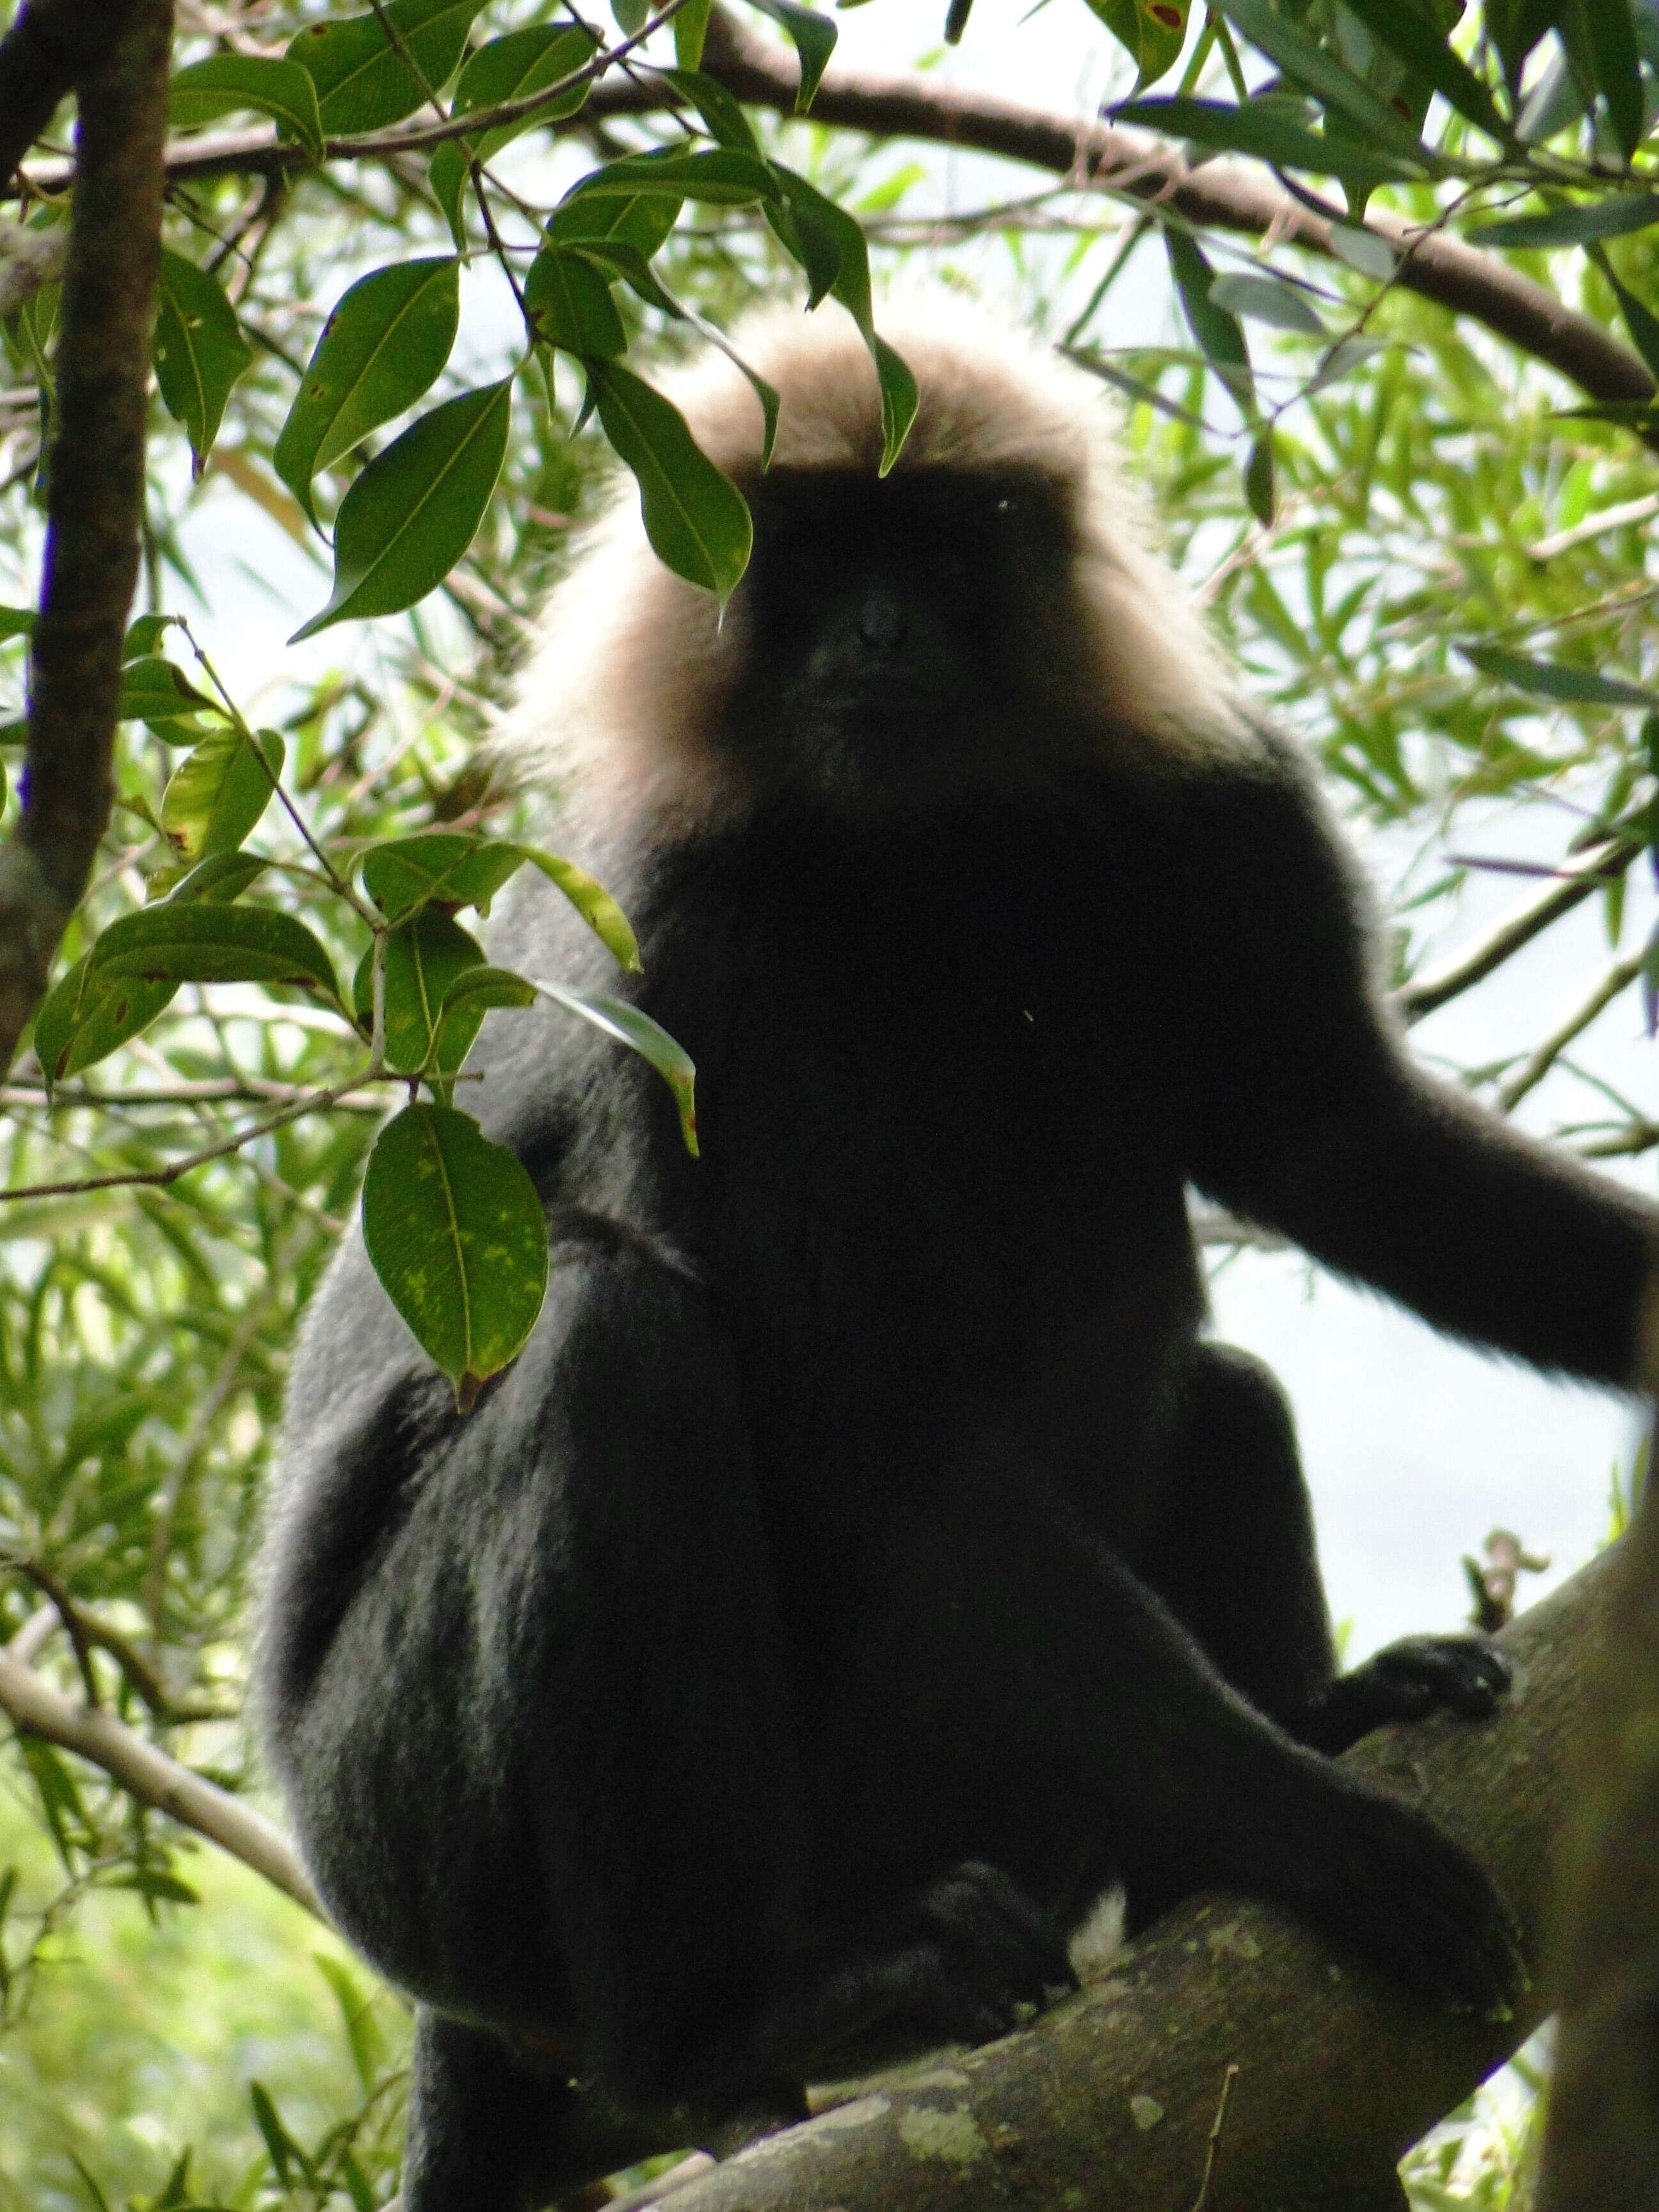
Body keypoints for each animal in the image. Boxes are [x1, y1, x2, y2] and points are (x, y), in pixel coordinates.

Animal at [253, 298, 1659, 2212]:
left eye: (940, 543)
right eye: (809, 548)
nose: (876, 631)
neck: (923, 847)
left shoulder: (1213, 801)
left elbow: (1337, 1143)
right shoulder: (688, 935)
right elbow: (868, 1431)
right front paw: (1303, 1821)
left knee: (1219, 1389)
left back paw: (1313, 1720)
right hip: (412, 1850)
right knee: (614, 1337)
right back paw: (733, 2026)